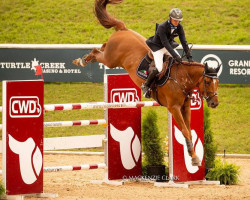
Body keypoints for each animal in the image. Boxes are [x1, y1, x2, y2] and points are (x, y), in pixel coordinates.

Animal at [73, 0, 220, 166]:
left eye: (217, 82)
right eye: (207, 81)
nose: (214, 103)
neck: (182, 78)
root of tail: (124, 29)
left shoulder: (185, 107)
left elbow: (188, 131)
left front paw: (193, 155)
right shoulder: (174, 108)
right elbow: (184, 130)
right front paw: (194, 158)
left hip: (110, 56)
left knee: (101, 47)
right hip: (111, 60)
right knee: (96, 51)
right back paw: (81, 61)